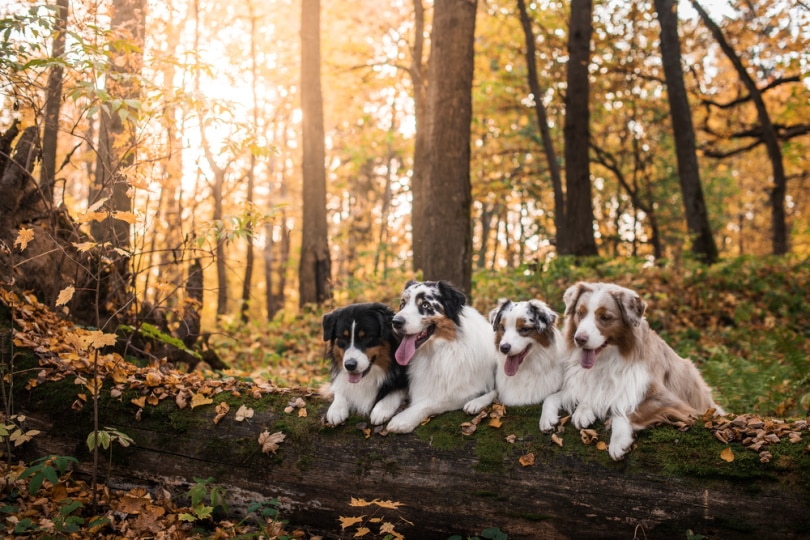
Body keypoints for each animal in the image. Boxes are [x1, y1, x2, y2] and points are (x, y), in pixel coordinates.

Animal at [382, 280, 496, 432]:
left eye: (425, 305)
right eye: (403, 303)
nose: (395, 321)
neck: (435, 351)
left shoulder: (462, 391)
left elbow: (430, 402)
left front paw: (403, 419)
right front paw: (381, 409)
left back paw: (476, 403)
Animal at [540, 282, 724, 460]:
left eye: (605, 317)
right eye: (580, 313)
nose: (579, 339)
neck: (607, 360)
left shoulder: (668, 400)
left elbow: (623, 410)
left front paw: (618, 441)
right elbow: (554, 397)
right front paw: (552, 416)